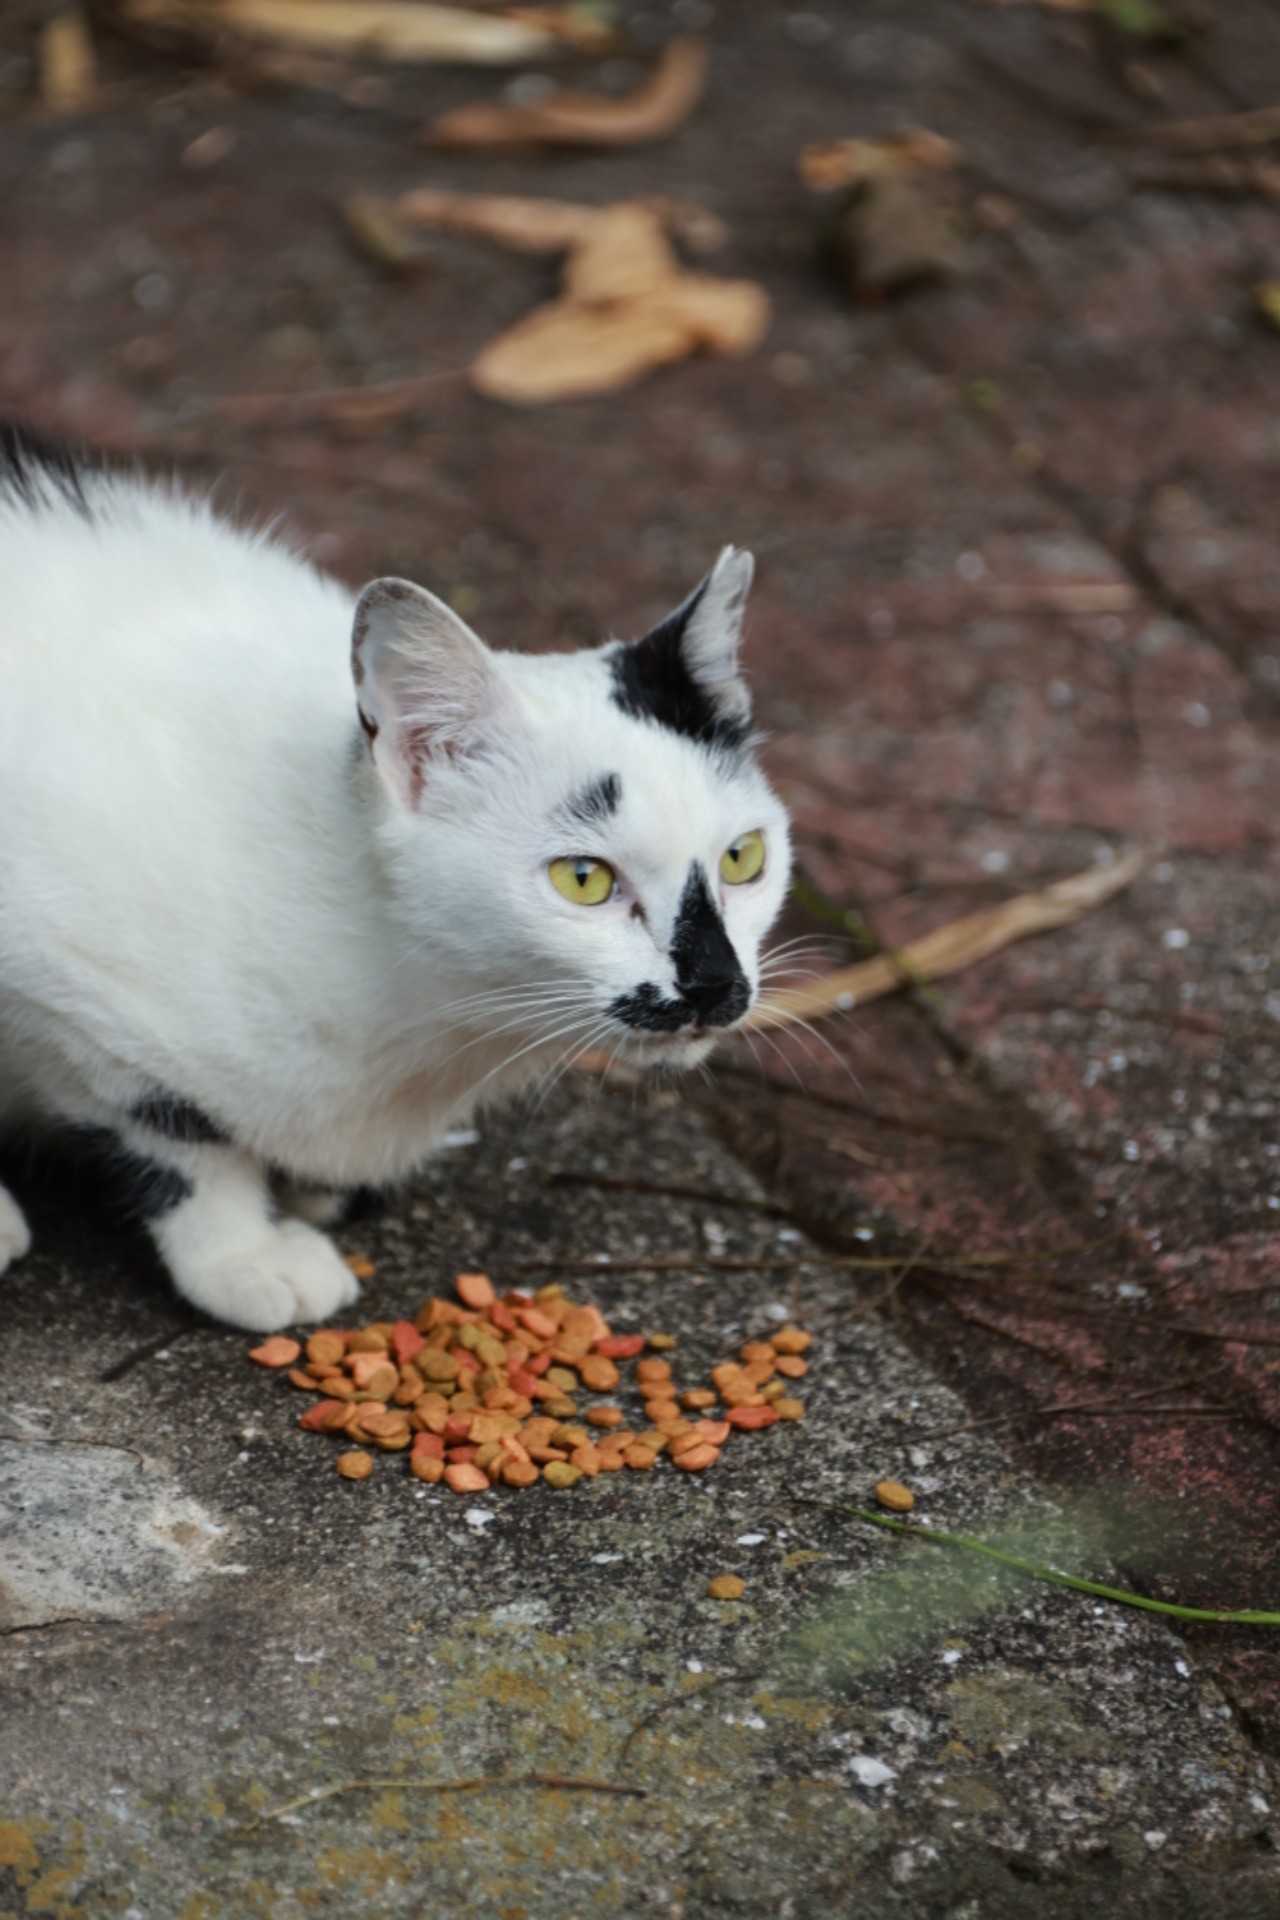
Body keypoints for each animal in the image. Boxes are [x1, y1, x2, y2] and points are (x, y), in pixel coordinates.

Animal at [0, 432, 790, 1336]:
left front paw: (315, 1190)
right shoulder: (66, 996)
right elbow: (179, 1139)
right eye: (584, 879)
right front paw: (242, 1256)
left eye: (743, 859)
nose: (716, 982)